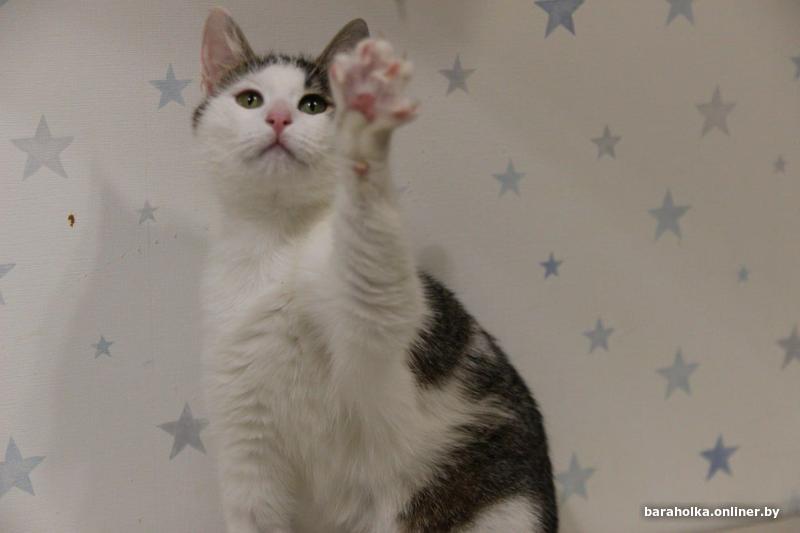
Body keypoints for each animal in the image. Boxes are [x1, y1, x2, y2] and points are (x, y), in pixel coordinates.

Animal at [194, 7, 558, 533]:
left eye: (314, 104)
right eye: (249, 99)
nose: (279, 117)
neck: (274, 244)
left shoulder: (380, 331)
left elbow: (375, 278)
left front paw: (365, 125)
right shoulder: (247, 442)